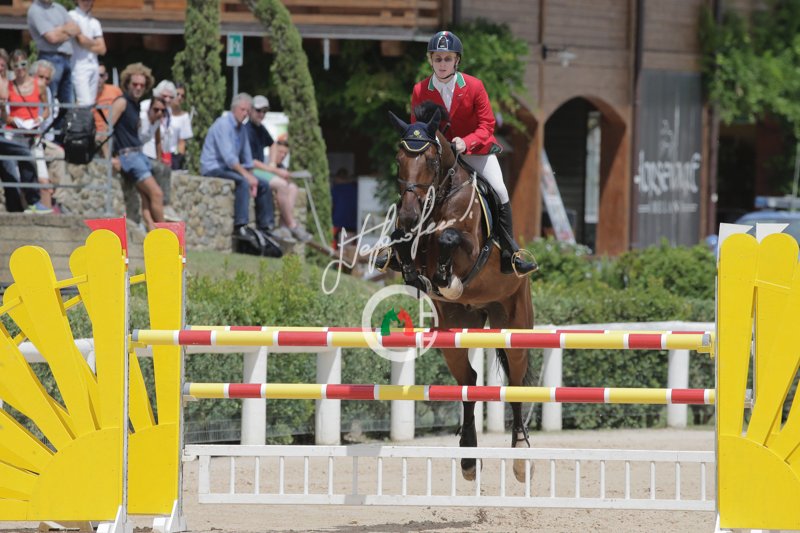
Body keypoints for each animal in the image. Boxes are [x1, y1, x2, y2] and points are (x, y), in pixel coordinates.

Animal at [387, 103, 535, 482]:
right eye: (399, 158)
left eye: (431, 159)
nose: (409, 215)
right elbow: (406, 245)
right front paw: (418, 272)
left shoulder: (469, 248)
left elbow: (449, 238)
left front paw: (445, 277)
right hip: (452, 332)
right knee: (469, 381)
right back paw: (468, 457)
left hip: (514, 325)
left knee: (514, 381)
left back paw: (521, 455)